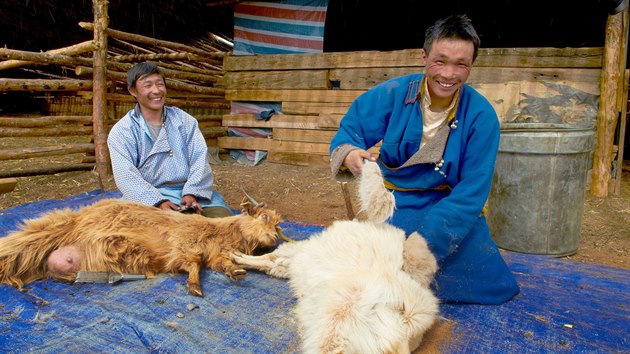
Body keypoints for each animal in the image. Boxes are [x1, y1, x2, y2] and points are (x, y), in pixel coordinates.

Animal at [232, 161, 440, 354]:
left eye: (262, 217)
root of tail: (409, 320)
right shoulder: (290, 260)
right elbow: (268, 262)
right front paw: (236, 260)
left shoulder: (295, 251)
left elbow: (269, 257)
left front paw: (235, 256)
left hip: (338, 319)